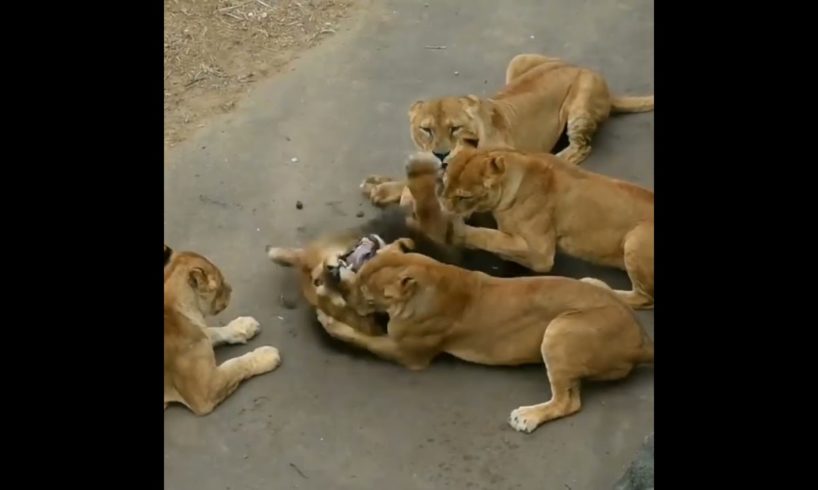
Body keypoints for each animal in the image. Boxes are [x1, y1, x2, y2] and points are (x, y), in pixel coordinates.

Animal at [164, 245, 282, 414]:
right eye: (219, 283)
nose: (231, 289)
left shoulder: (202, 334)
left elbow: (215, 331)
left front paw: (244, 325)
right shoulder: (204, 390)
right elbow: (236, 365)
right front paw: (265, 355)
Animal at [316, 237, 652, 432]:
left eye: (368, 293)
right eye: (362, 277)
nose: (344, 288)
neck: (433, 277)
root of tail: (642, 339)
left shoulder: (407, 353)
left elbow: (363, 340)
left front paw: (329, 318)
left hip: (560, 329)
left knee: (568, 402)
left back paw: (528, 417)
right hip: (590, 283)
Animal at [360, 52, 652, 206]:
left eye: (454, 128)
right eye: (426, 130)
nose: (441, 154)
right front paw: (379, 184)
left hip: (580, 103)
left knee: (581, 147)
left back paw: (553, 161)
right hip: (519, 60)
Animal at [436, 148, 652, 310]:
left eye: (464, 196)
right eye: (445, 183)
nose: (442, 204)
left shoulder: (542, 254)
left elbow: (489, 236)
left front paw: (458, 230)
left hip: (635, 238)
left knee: (644, 298)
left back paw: (594, 285)